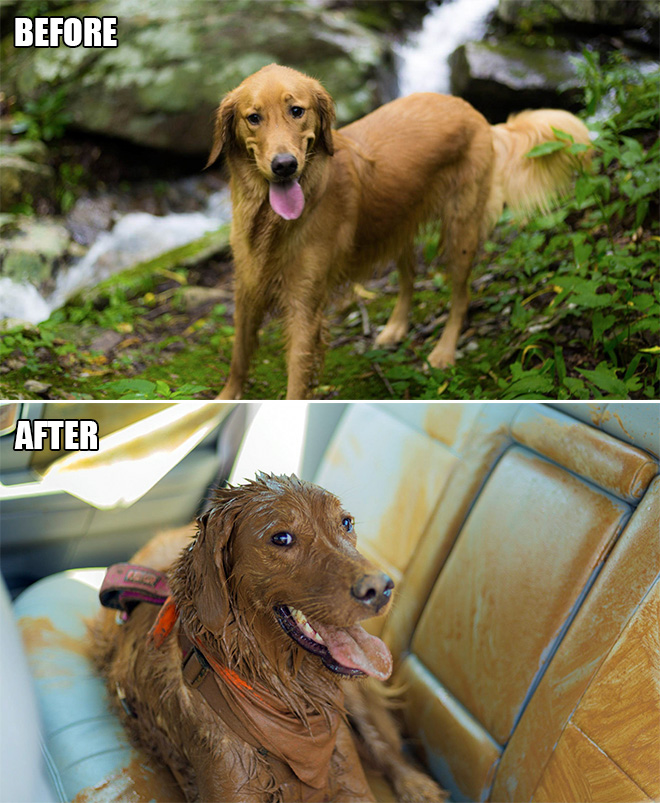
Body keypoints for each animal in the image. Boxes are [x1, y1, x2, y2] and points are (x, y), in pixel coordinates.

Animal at [209, 64, 592, 400]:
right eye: (253, 117)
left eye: (296, 110)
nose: (285, 165)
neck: (272, 222)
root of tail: (476, 113)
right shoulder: (247, 288)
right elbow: (239, 356)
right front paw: (224, 399)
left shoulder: (304, 306)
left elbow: (296, 381)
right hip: (398, 222)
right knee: (410, 274)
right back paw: (396, 327)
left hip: (461, 231)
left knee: (461, 295)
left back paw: (444, 351)